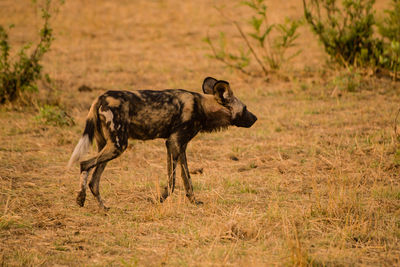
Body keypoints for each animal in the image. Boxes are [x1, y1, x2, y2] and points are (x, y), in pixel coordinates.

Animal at [67, 76, 258, 210]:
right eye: (246, 108)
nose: (255, 118)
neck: (203, 106)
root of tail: (101, 98)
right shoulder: (174, 142)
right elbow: (173, 181)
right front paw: (160, 199)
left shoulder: (178, 146)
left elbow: (186, 179)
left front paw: (194, 201)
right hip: (118, 146)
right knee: (85, 164)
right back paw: (80, 199)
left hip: (108, 146)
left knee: (94, 180)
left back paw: (103, 207)